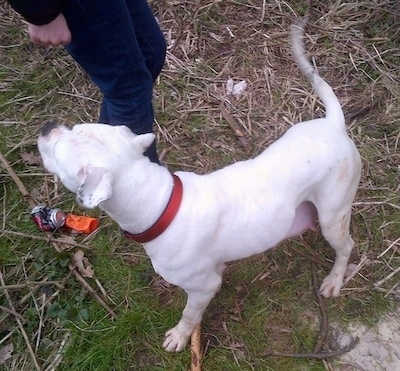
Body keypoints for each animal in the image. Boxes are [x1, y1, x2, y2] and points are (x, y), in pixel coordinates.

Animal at [38, 24, 362, 354]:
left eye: (60, 149)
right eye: (76, 127)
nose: (47, 126)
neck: (160, 205)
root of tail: (334, 124)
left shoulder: (202, 286)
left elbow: (189, 314)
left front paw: (181, 336)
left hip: (333, 215)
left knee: (346, 246)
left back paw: (335, 279)